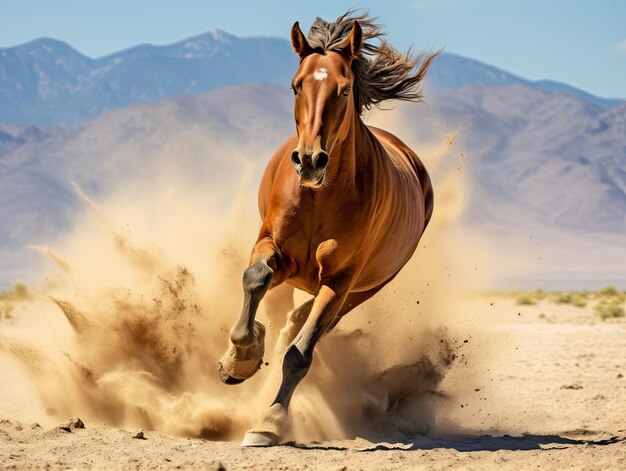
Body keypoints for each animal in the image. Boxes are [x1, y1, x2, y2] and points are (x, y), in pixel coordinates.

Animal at [217, 10, 436, 446]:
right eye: (296, 84)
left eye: (345, 88)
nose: (309, 160)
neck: (322, 197)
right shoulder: (272, 248)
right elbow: (254, 279)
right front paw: (238, 361)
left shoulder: (339, 280)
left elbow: (301, 353)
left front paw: (268, 423)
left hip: (364, 289)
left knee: (307, 325)